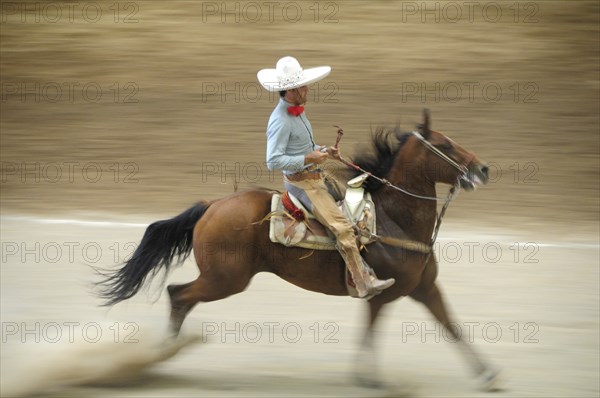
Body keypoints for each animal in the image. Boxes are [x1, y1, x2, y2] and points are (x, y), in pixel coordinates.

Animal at [98, 110, 502, 390]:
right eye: (445, 145)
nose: (482, 168)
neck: (391, 218)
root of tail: (212, 205)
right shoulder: (384, 294)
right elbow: (372, 330)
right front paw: (369, 378)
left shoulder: (425, 288)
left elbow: (451, 326)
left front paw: (488, 375)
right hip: (224, 280)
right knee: (178, 294)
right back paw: (160, 356)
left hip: (222, 279)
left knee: (179, 296)